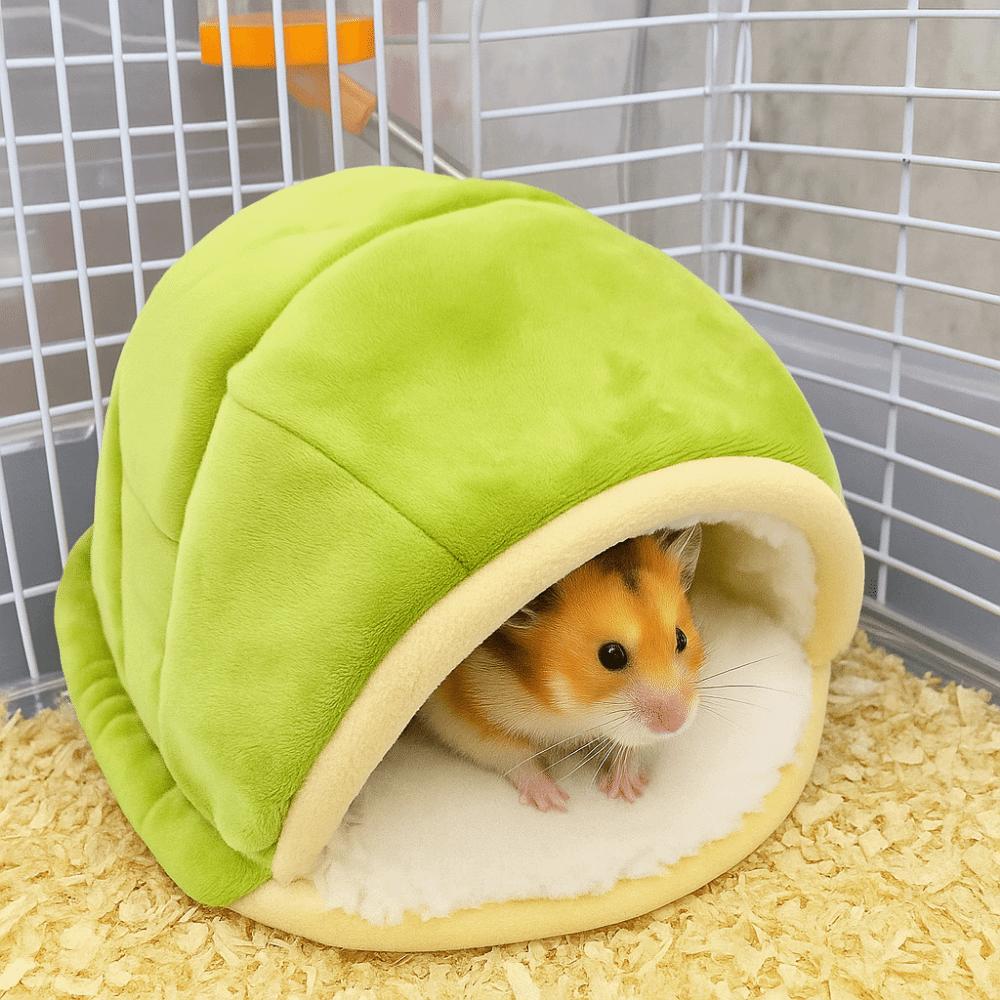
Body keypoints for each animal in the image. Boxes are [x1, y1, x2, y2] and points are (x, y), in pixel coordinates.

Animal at [417, 525, 704, 811]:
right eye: (611, 655)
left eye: (681, 639)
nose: (676, 724)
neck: (568, 709)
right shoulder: (464, 716)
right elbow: (515, 755)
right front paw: (554, 801)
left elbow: (631, 745)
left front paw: (627, 790)